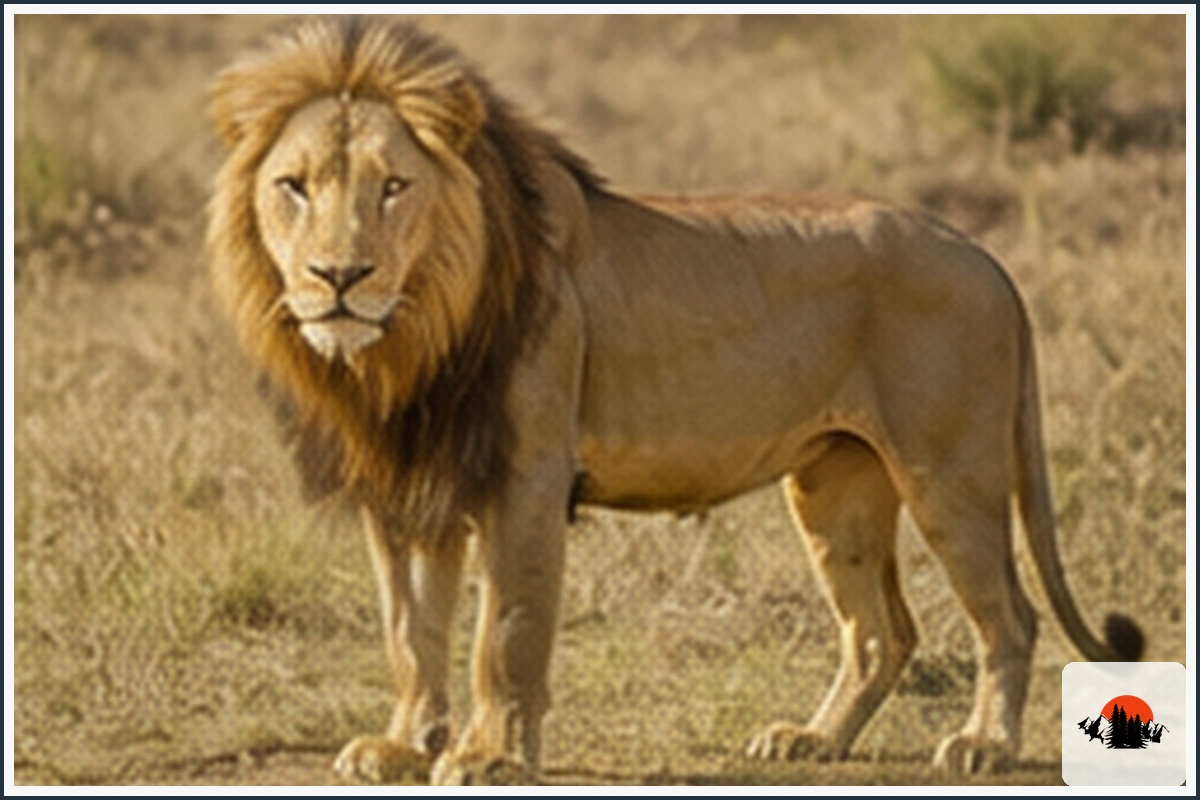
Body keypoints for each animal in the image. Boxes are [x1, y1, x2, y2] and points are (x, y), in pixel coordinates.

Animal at [208, 18, 1143, 784]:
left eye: (394, 186)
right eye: (295, 185)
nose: (338, 276)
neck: (408, 341)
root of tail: (982, 253)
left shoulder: (527, 473)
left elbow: (504, 627)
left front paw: (491, 757)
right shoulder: (408, 479)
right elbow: (411, 630)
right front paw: (403, 746)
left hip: (949, 470)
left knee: (1011, 616)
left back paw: (984, 745)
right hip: (835, 485)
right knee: (883, 632)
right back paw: (811, 739)